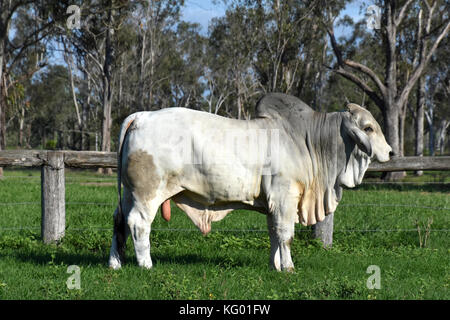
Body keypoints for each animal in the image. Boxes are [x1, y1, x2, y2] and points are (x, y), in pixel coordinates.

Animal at [108, 93, 390, 272]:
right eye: (368, 127)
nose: (390, 152)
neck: (307, 141)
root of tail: (141, 116)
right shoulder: (285, 198)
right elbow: (286, 235)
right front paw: (289, 268)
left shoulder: (273, 204)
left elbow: (274, 233)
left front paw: (275, 266)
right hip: (147, 193)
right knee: (138, 224)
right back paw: (146, 265)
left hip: (130, 193)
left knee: (119, 220)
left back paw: (115, 263)